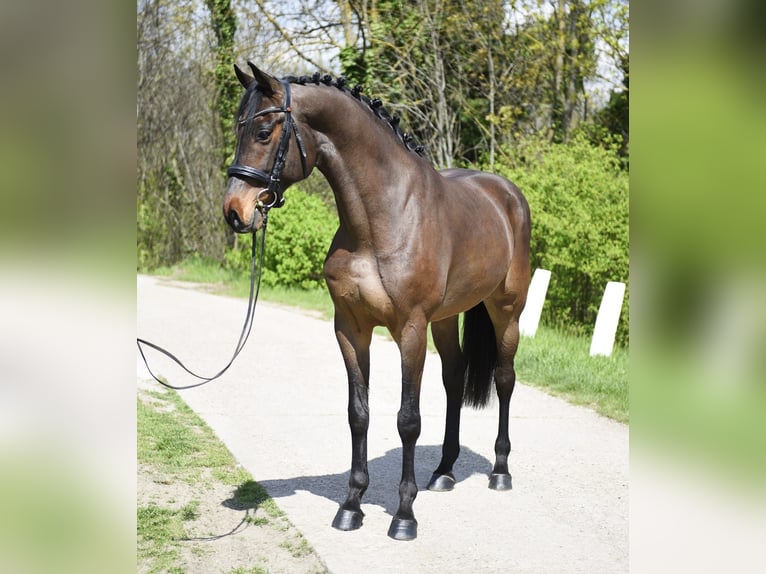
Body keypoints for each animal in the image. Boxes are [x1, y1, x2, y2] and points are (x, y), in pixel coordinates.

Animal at [223, 63, 531, 541]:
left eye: (262, 131)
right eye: (239, 128)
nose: (235, 211)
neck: (382, 218)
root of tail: (508, 194)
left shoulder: (410, 330)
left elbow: (408, 419)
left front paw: (404, 515)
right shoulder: (351, 329)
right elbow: (359, 414)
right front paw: (351, 506)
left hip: (506, 312)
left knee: (504, 379)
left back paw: (500, 470)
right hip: (446, 319)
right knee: (455, 377)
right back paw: (444, 471)